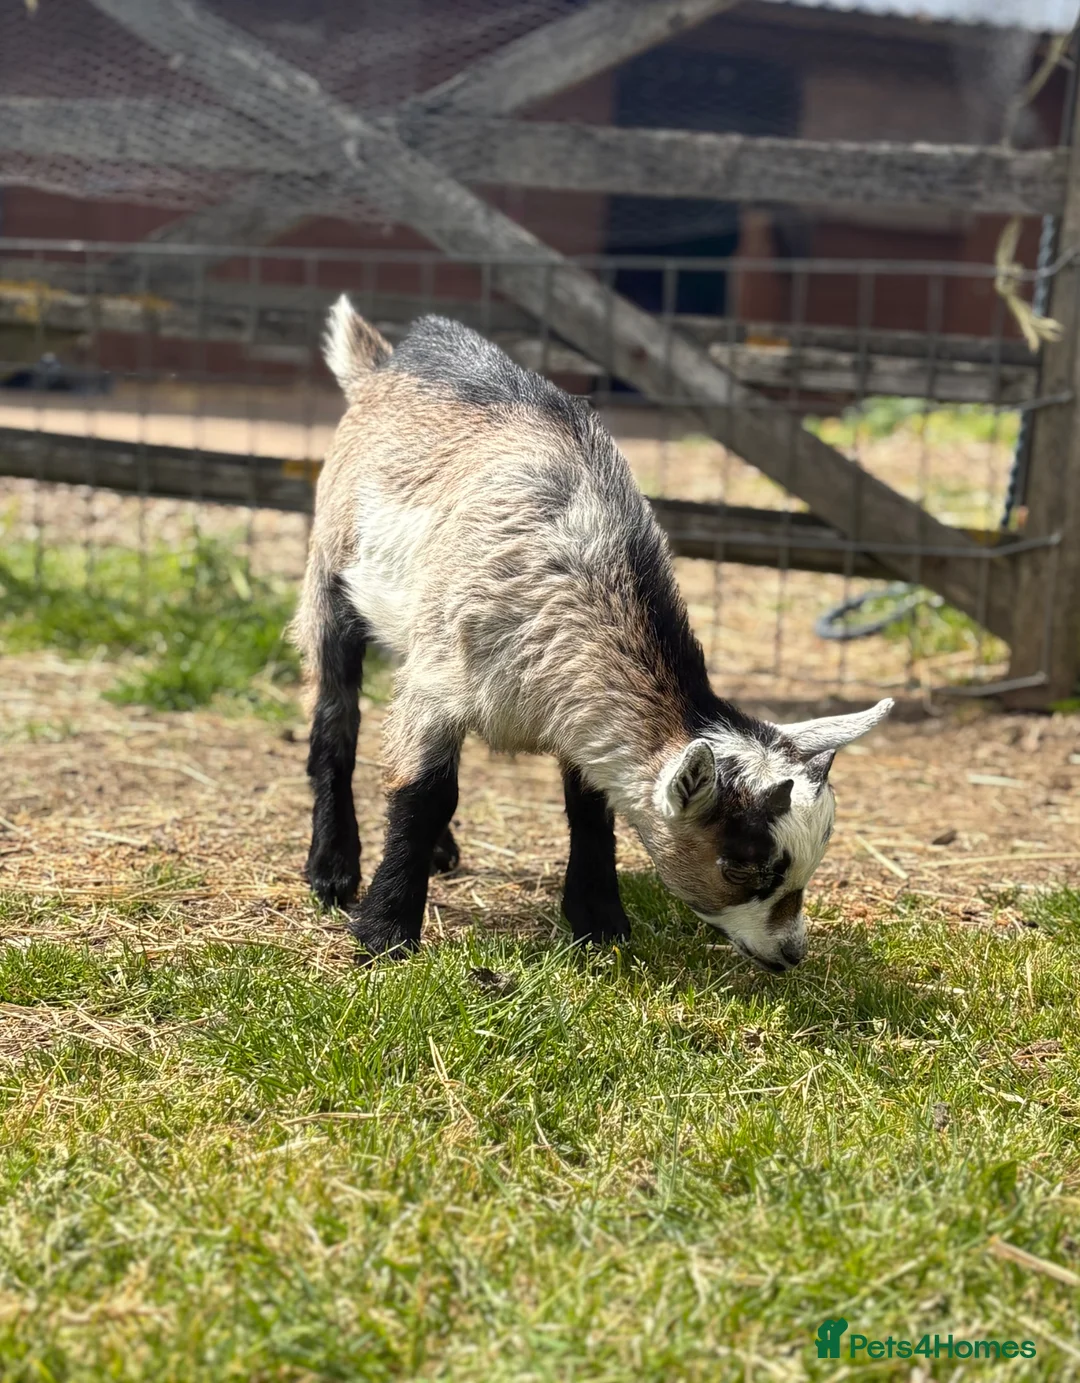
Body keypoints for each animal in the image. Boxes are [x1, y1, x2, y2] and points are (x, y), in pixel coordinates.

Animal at [291, 296, 893, 970]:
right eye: (742, 865)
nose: (790, 954)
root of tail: (383, 365)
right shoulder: (442, 680)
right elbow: (423, 794)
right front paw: (384, 934)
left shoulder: (571, 702)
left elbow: (589, 805)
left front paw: (599, 921)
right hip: (331, 575)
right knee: (336, 717)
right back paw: (333, 869)